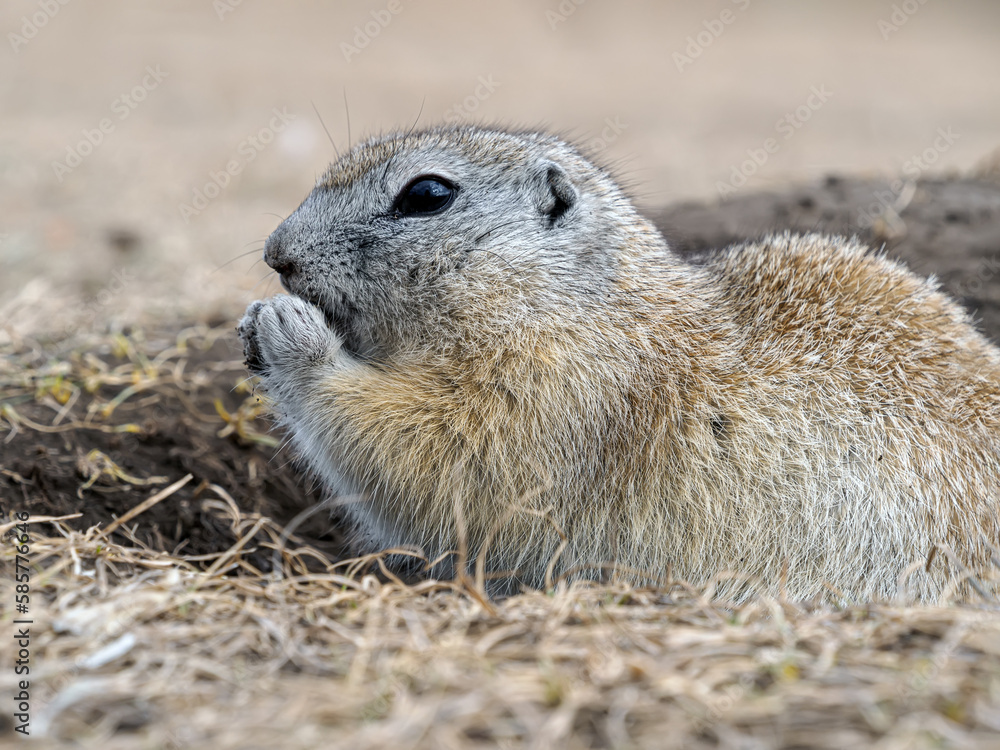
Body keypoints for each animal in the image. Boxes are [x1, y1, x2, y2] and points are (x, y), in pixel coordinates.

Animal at [238, 125, 1000, 602]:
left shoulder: (556, 386)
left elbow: (446, 457)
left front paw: (288, 332)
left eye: (427, 194)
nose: (277, 253)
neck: (569, 300)